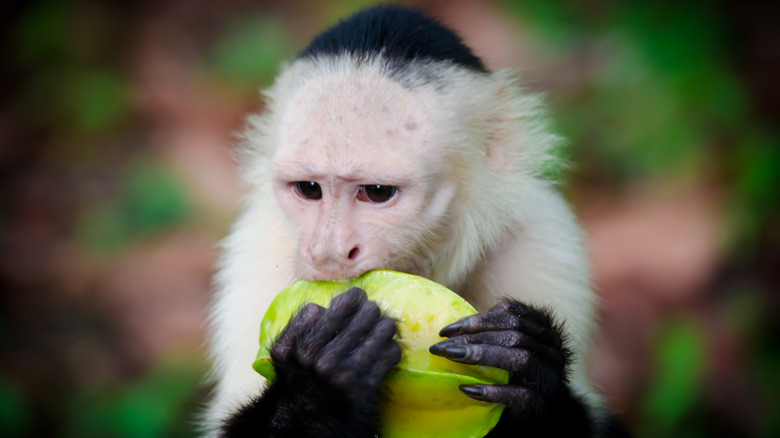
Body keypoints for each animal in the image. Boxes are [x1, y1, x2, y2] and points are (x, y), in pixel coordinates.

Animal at [204, 4, 632, 438]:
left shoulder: (543, 232)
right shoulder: (256, 243)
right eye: (309, 189)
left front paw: (527, 359)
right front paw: (318, 381)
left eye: (377, 192)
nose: (328, 252)